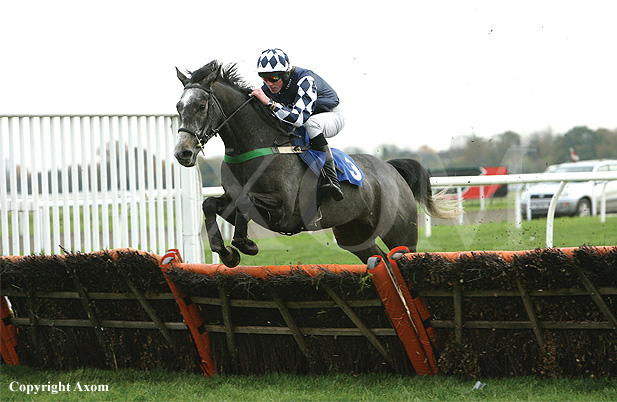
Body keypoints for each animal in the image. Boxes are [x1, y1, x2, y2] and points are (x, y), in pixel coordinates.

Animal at [173, 60, 458, 266]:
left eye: (201, 105)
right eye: (178, 106)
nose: (182, 153)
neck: (254, 146)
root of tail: (391, 170)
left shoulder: (284, 210)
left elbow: (246, 199)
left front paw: (246, 245)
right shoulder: (233, 201)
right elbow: (210, 203)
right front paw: (226, 252)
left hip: (401, 234)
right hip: (354, 234)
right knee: (379, 258)